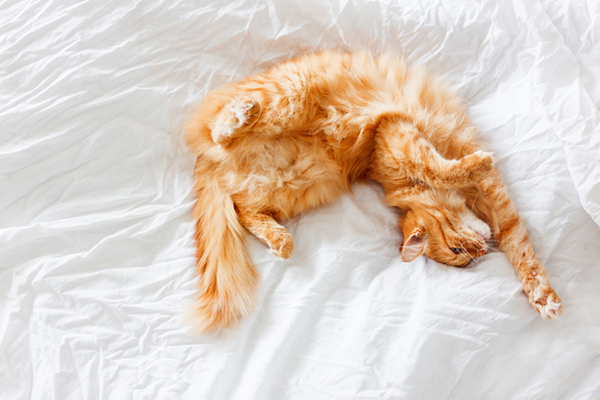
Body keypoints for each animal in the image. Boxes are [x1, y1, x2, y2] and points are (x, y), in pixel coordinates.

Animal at [184, 50, 564, 332]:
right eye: (457, 252)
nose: (482, 250)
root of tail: (210, 161)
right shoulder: (395, 135)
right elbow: (439, 169)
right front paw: (476, 163)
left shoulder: (490, 198)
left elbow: (518, 247)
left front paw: (542, 296)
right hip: (288, 102)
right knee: (222, 136)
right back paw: (242, 115)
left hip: (302, 180)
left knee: (244, 208)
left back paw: (280, 240)